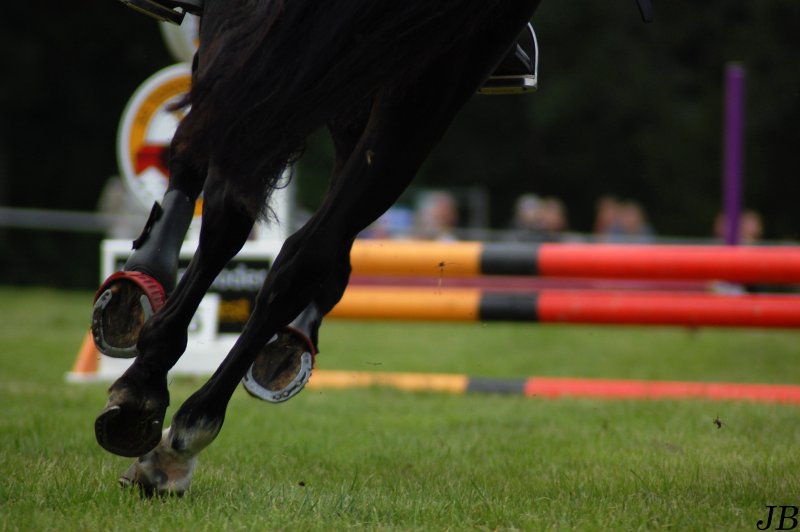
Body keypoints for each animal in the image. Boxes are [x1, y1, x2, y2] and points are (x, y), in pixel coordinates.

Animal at [93, 0, 651, 496]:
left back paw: (160, 414)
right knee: (303, 244)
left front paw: (139, 290)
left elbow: (198, 159)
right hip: (433, 75)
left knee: (239, 204)